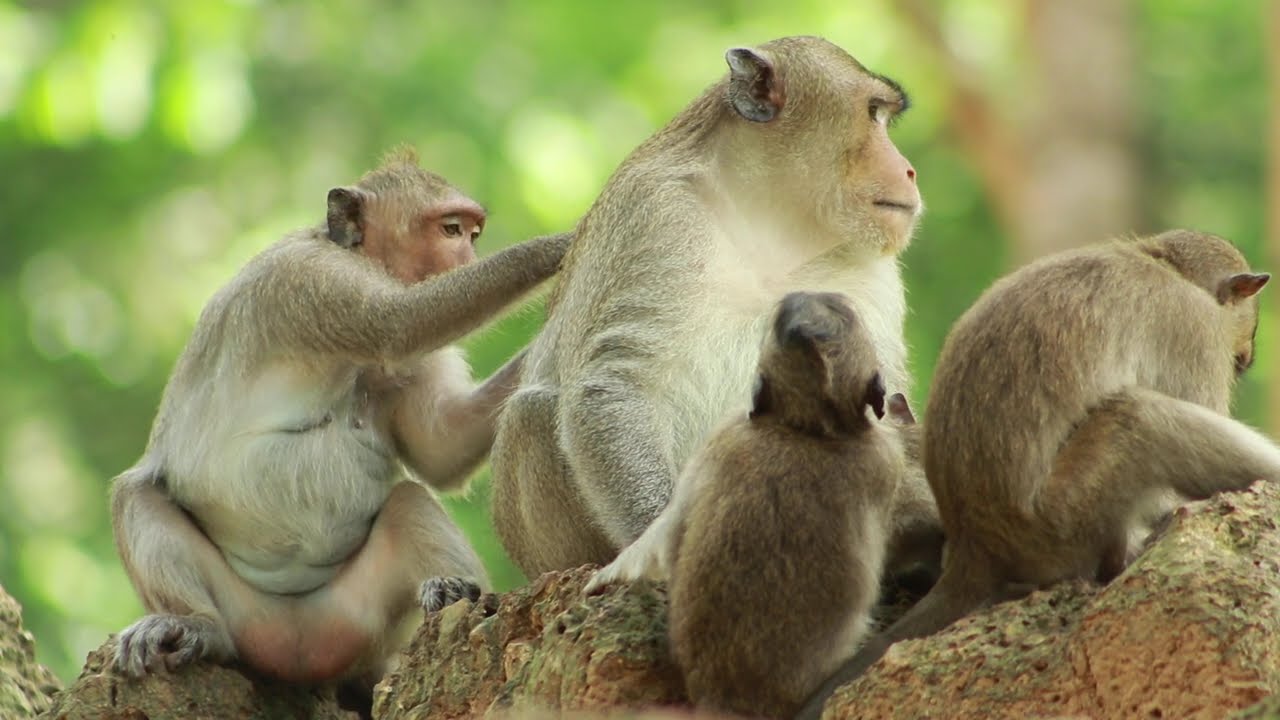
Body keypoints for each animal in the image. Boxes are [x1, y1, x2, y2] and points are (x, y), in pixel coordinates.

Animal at [110, 147, 572, 695]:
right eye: (451, 230)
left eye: (472, 234)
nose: (469, 261)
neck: (353, 253)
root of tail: (297, 652)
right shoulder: (309, 279)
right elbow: (402, 325)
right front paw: (562, 244)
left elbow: (442, 449)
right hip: (246, 615)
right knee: (136, 494)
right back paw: (195, 624)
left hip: (357, 619)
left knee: (408, 503)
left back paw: (453, 591)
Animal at [491, 35, 934, 580]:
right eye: (873, 113)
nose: (909, 169)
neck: (772, 226)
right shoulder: (657, 213)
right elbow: (614, 383)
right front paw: (660, 542)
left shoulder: (870, 270)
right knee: (533, 413)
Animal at [797, 229, 1280, 720]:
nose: (1245, 356)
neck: (1164, 264)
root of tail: (976, 549)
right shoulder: (1193, 330)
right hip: (1061, 521)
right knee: (1137, 418)